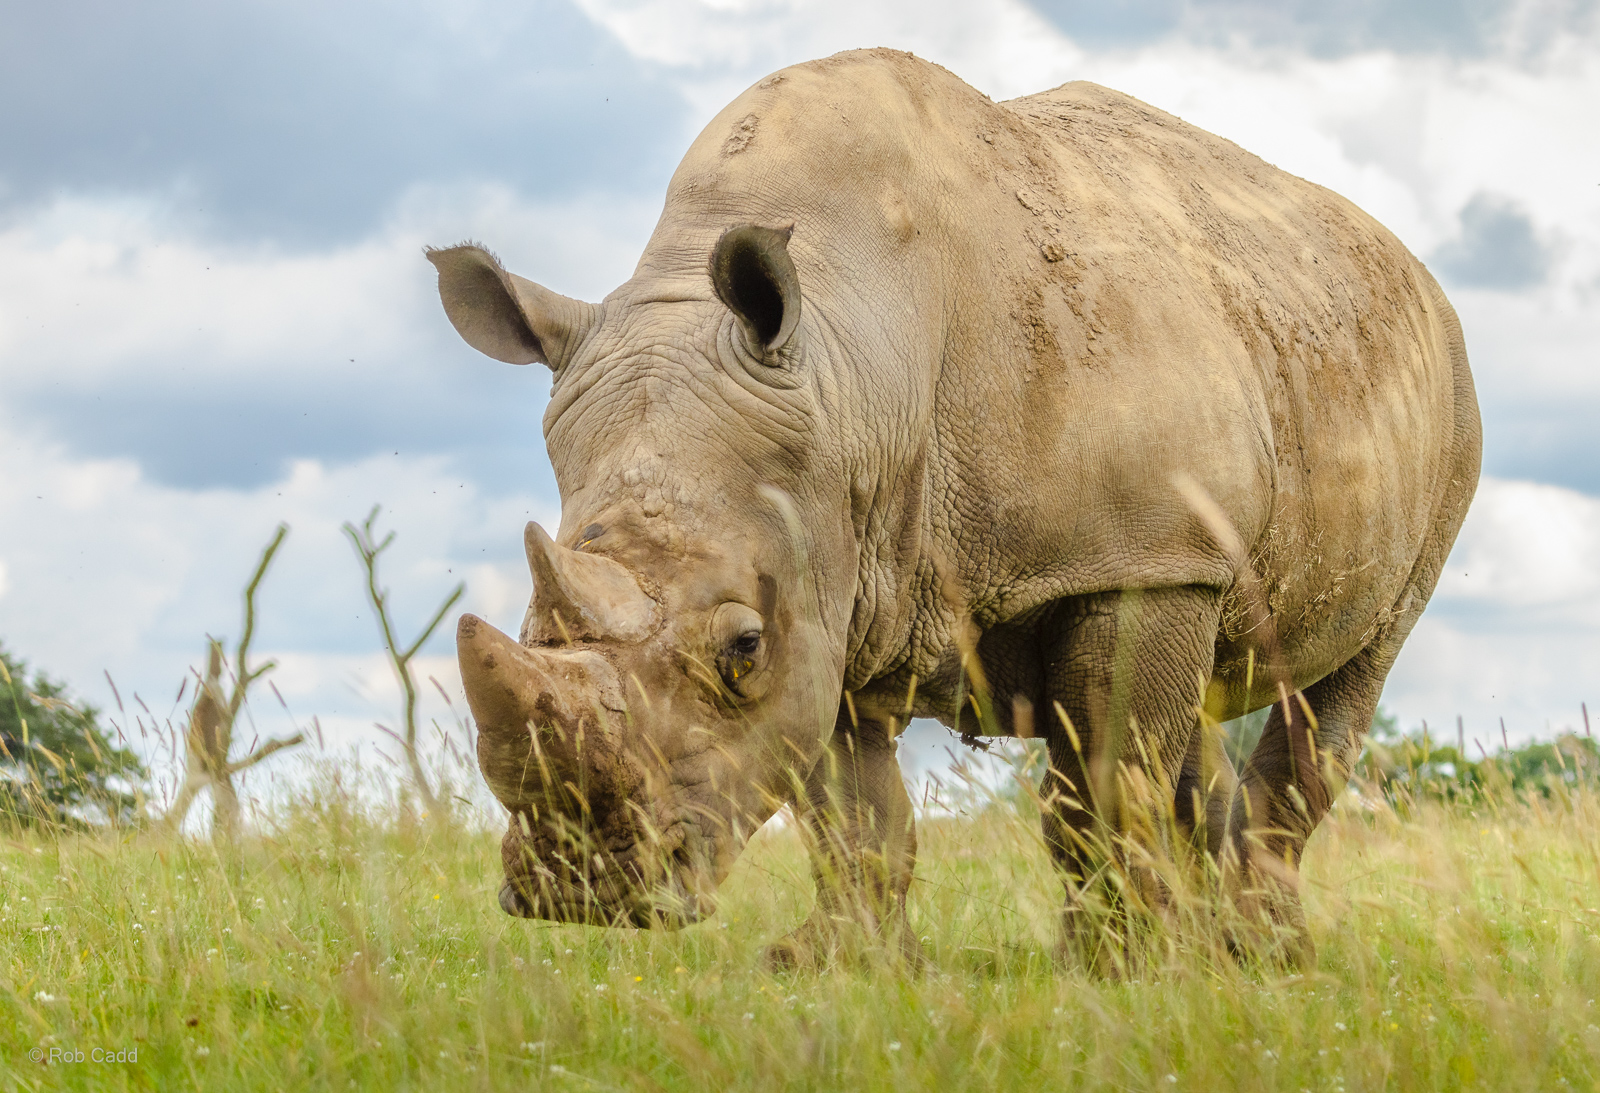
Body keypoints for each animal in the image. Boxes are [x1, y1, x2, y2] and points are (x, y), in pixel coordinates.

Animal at [428, 48, 1479, 966]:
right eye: (532, 627)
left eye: (741, 648)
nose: (579, 897)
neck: (853, 364)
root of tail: (1415, 273)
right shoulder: (834, 570)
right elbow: (853, 811)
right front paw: (835, 964)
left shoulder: (1139, 554)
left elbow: (1101, 782)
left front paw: (1118, 970)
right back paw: (1224, 948)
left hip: (1442, 409)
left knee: (1343, 677)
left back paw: (1263, 955)